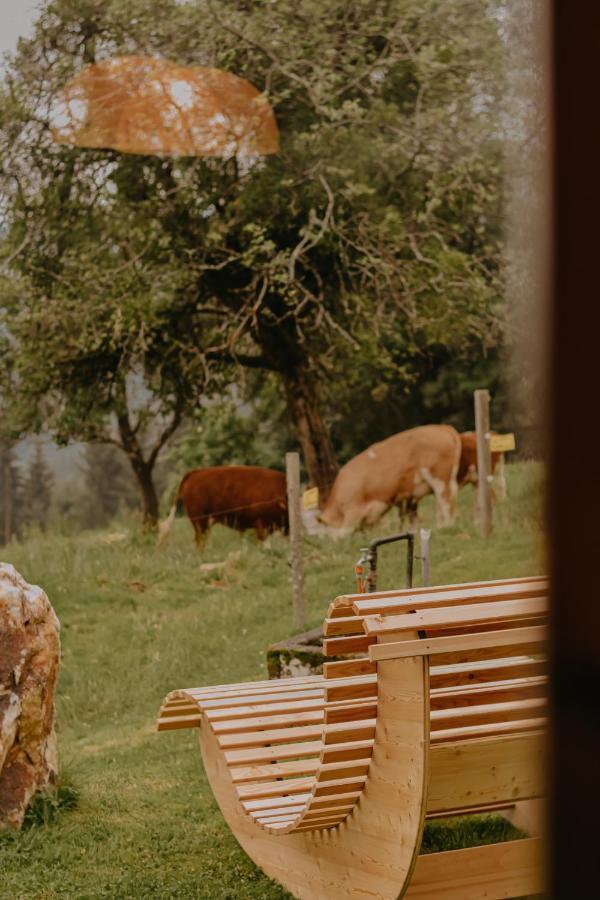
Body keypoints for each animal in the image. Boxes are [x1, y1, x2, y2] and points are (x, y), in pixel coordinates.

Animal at [302, 424, 462, 536]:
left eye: (319, 530)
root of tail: (442, 427)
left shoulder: (353, 510)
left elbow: (346, 532)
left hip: (440, 479)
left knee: (446, 502)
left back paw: (446, 526)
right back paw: (440, 526)